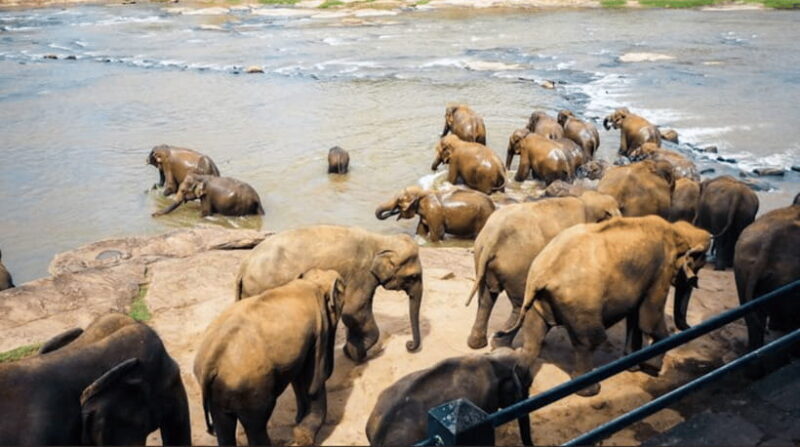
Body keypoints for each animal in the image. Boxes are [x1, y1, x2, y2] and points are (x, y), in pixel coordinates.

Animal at [195, 269, 344, 446]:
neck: (312, 282)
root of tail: (211, 361)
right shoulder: (320, 329)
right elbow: (313, 379)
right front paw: (303, 436)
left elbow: (299, 376)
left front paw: (299, 424)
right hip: (252, 388)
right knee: (256, 424)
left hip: (219, 391)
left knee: (223, 424)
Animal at [235, 225, 423, 362]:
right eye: (413, 277)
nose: (409, 345)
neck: (382, 240)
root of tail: (244, 267)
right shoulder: (362, 274)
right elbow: (353, 311)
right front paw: (361, 355)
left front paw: (349, 351)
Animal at [465, 191, 621, 349]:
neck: (586, 201)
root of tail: (492, 238)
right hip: (517, 266)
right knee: (519, 305)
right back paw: (501, 345)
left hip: (482, 258)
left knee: (486, 298)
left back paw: (478, 344)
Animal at [495, 216, 710, 396]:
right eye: (696, 271)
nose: (691, 327)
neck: (677, 230)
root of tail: (541, 274)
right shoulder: (660, 272)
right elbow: (648, 320)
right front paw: (653, 368)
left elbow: (635, 318)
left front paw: (633, 366)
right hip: (580, 302)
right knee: (588, 341)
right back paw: (590, 391)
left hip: (538, 299)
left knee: (534, 338)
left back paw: (520, 383)